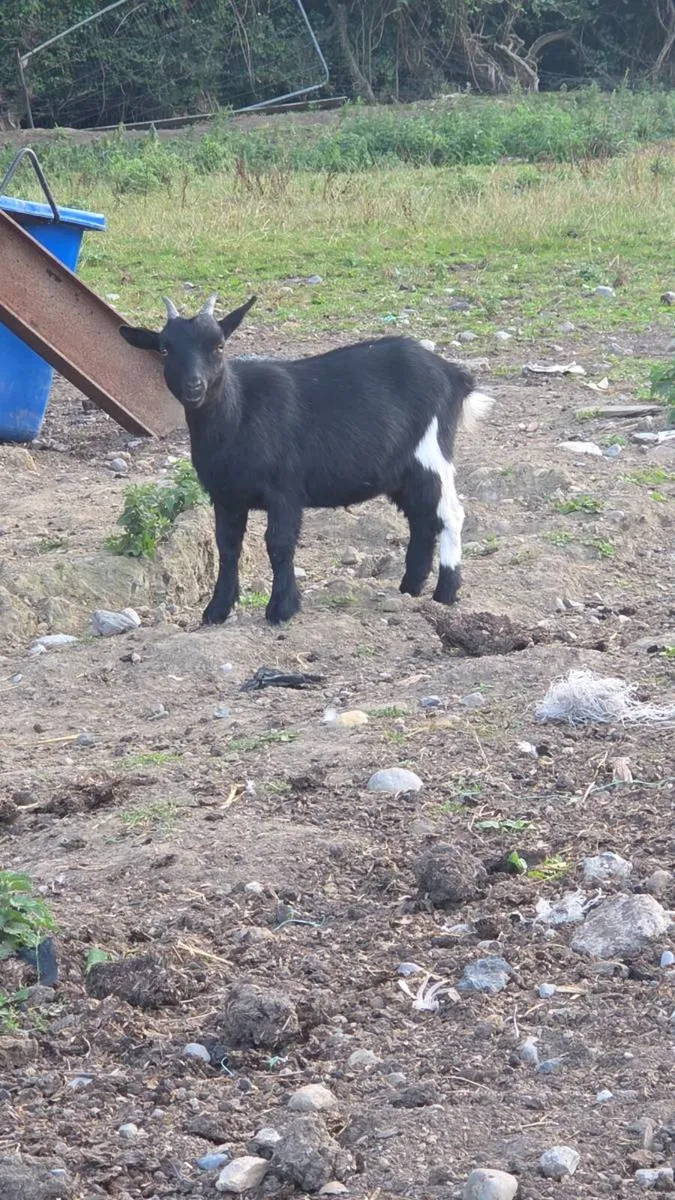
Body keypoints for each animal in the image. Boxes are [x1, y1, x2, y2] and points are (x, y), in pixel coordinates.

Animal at [119, 295, 493, 626]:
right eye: (165, 349)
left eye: (219, 345)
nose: (194, 387)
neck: (238, 414)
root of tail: (454, 375)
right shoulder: (226, 496)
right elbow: (227, 547)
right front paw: (217, 610)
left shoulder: (284, 490)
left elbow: (279, 544)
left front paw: (282, 608)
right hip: (401, 471)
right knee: (422, 518)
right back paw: (410, 587)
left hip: (431, 453)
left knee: (450, 514)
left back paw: (445, 592)